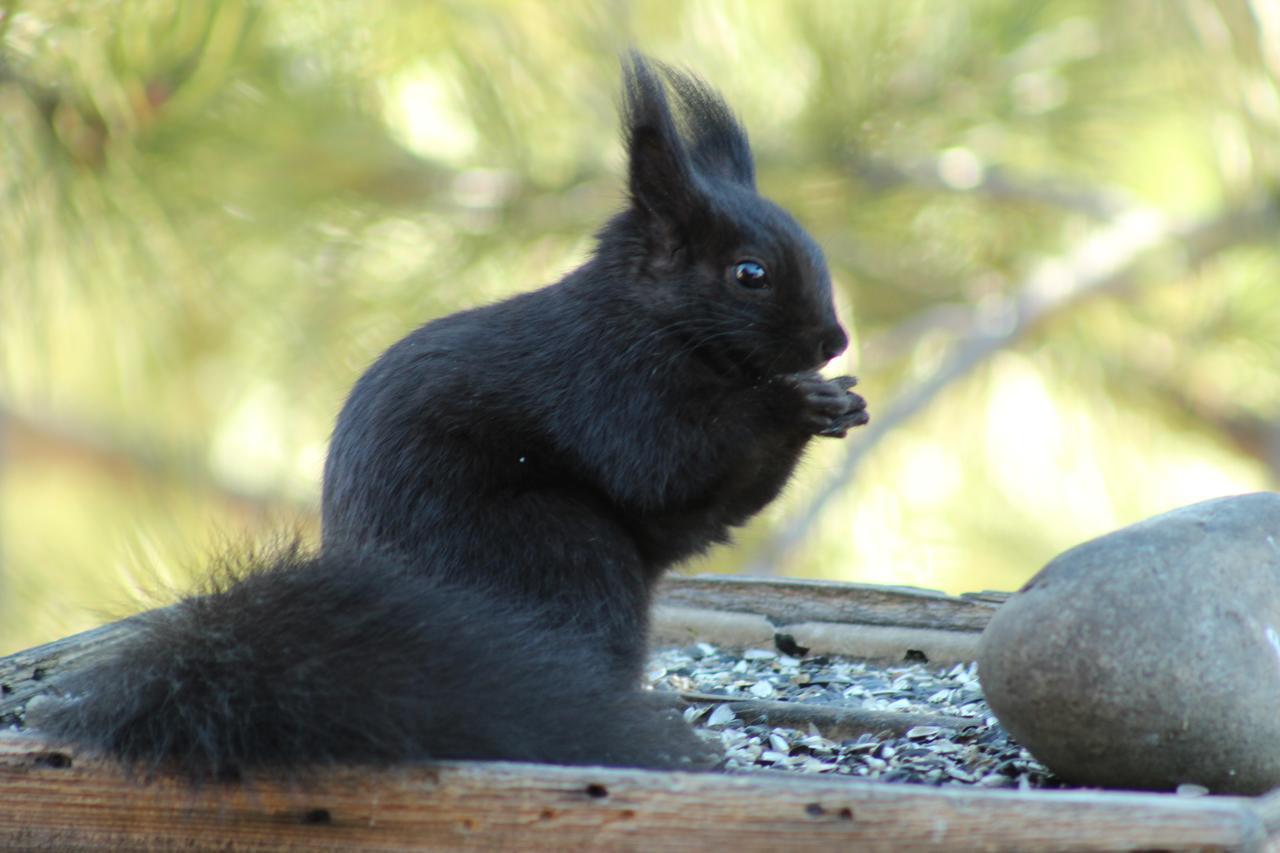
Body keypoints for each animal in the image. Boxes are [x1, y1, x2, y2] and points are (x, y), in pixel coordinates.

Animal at [30, 56, 870, 778]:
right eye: (749, 274)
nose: (833, 340)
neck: (649, 321)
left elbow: (704, 515)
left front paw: (839, 399)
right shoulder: (614, 391)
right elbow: (671, 468)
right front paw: (796, 400)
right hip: (562, 551)